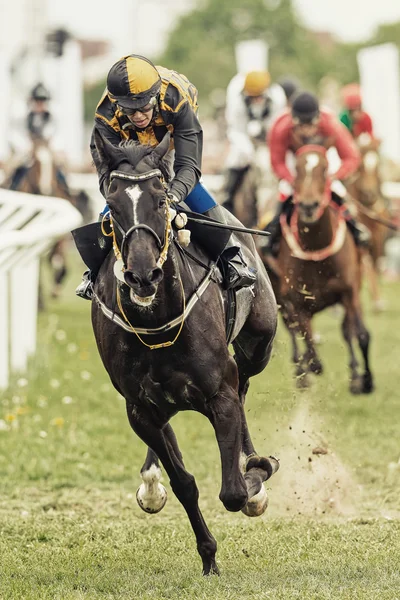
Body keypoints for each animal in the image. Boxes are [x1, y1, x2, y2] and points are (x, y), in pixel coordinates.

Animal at [89, 129, 280, 576]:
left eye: (161, 200)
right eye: (114, 205)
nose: (143, 275)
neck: (157, 322)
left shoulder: (220, 393)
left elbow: (233, 492)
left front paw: (255, 478)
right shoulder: (140, 409)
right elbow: (184, 483)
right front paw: (208, 555)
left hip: (259, 344)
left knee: (245, 383)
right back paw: (150, 480)